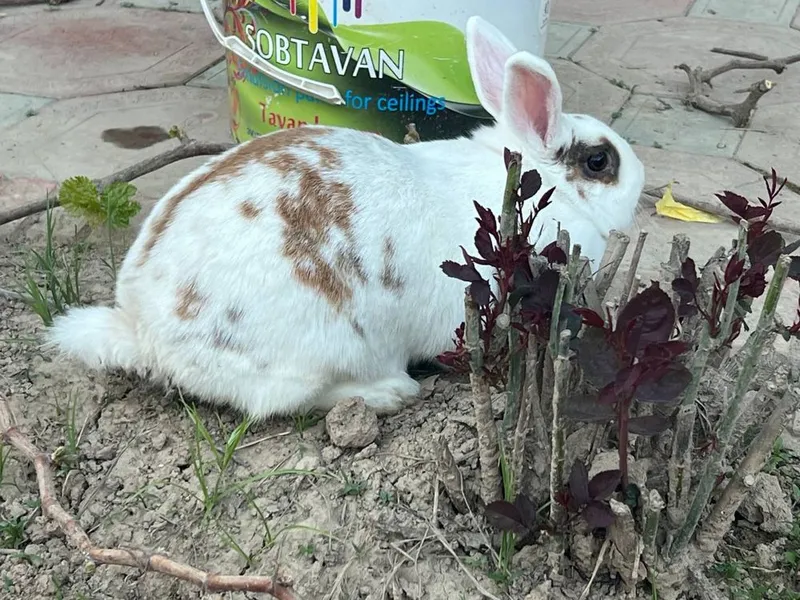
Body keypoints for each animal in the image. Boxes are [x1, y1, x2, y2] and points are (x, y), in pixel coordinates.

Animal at [45, 15, 645, 420]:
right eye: (600, 162)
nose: (641, 177)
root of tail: (143, 328)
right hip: (324, 350)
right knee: (287, 400)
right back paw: (389, 393)